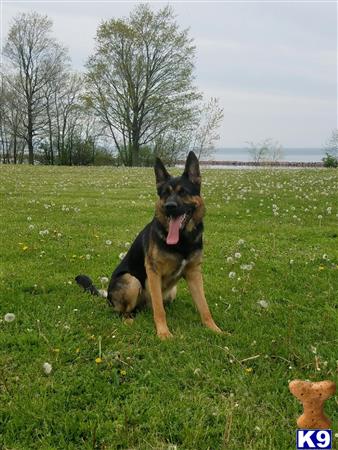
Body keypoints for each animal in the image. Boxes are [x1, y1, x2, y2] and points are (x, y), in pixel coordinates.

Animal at [75, 151, 220, 338]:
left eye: (183, 192)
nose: (169, 206)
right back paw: (128, 320)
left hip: (171, 291)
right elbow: (159, 309)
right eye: (164, 193)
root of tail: (107, 296)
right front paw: (164, 333)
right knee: (121, 312)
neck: (182, 241)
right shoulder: (153, 272)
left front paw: (215, 329)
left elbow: (204, 306)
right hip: (132, 281)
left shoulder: (194, 273)